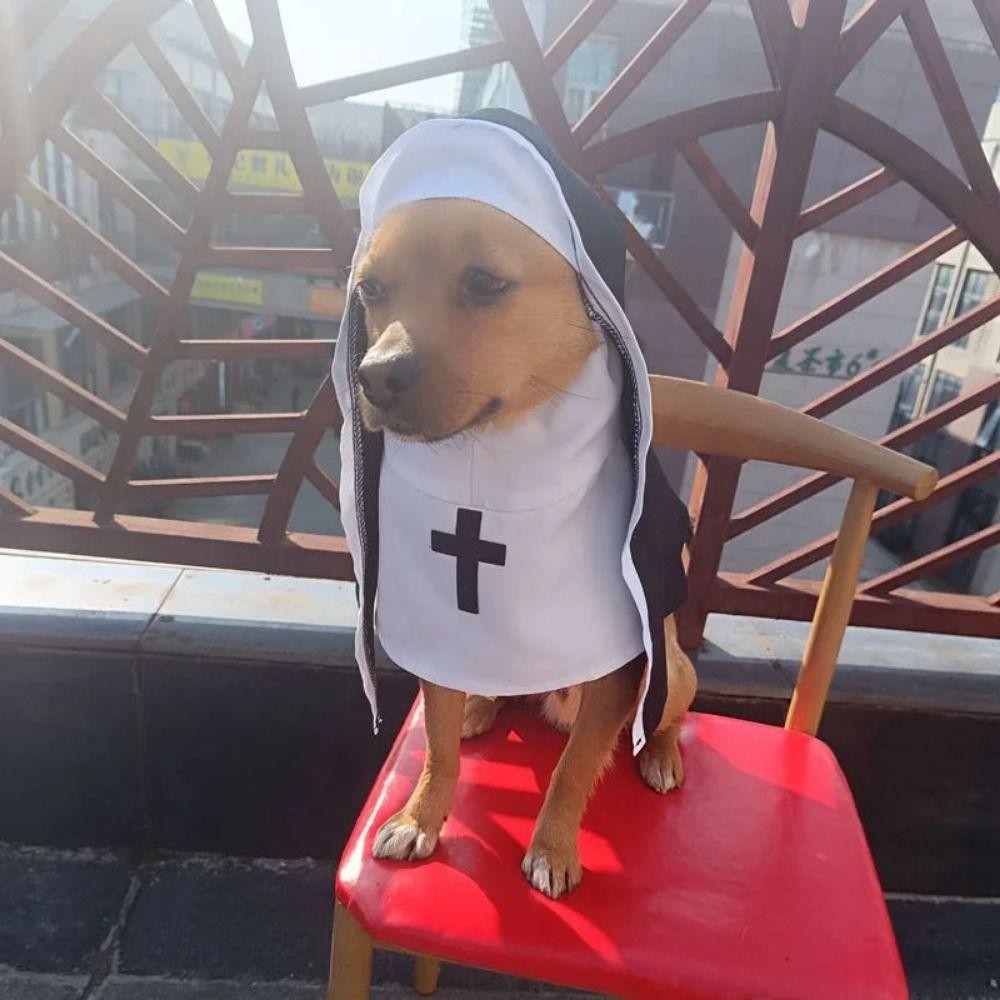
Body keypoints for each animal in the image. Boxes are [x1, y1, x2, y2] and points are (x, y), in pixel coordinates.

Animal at [352, 197, 697, 899]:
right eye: (369, 289)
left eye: (485, 282)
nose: (375, 375)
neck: (496, 459)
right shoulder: (444, 634)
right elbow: (438, 747)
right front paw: (421, 817)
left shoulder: (620, 674)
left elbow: (572, 771)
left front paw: (552, 849)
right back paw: (481, 704)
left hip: (673, 672)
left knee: (666, 715)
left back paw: (660, 752)